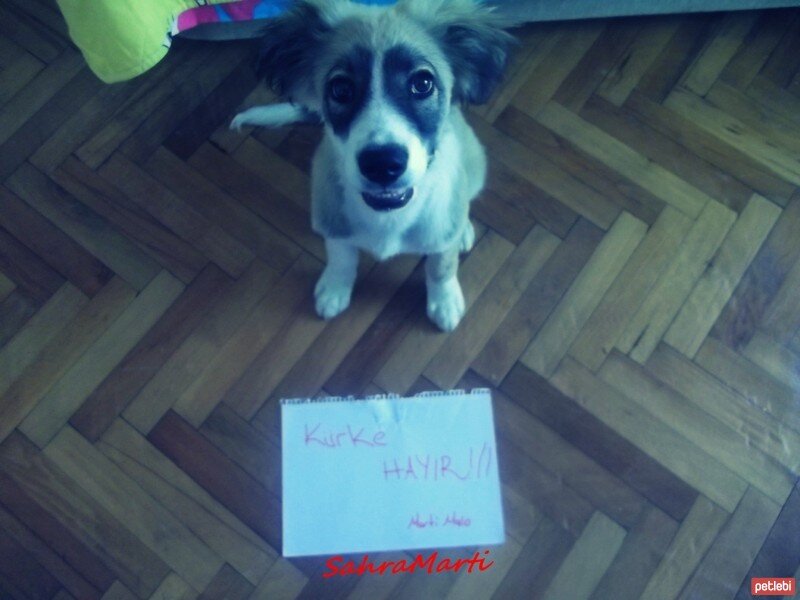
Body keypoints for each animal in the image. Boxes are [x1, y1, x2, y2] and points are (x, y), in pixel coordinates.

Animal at [231, 0, 512, 328]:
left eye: (423, 83)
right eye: (340, 89)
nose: (382, 164)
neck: (389, 217)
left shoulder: (439, 238)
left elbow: (441, 265)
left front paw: (444, 302)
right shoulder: (334, 223)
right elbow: (341, 257)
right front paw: (335, 288)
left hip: (476, 163)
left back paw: (463, 229)